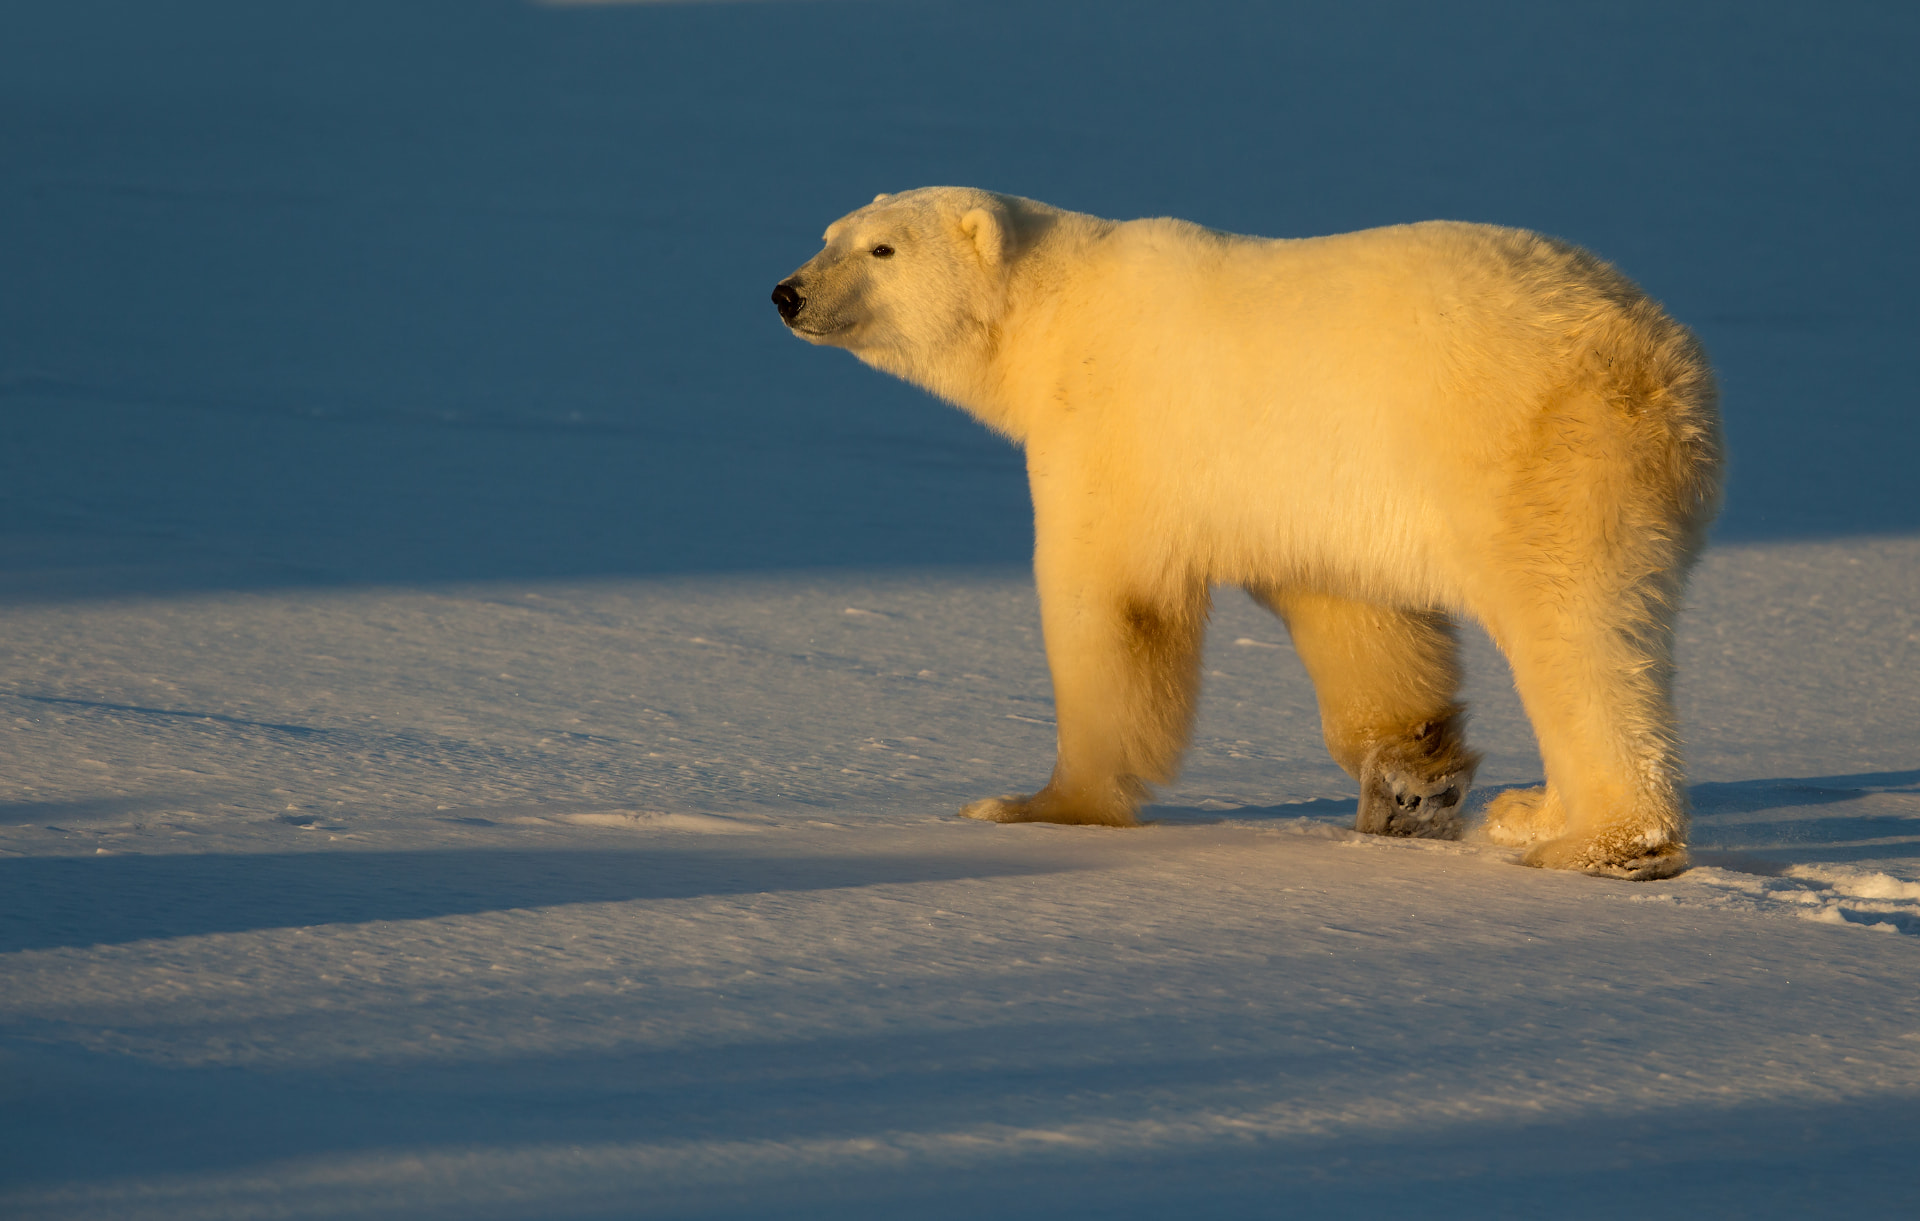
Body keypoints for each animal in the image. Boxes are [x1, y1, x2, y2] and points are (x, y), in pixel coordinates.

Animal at [773, 187, 1722, 880]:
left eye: (882, 249)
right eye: (829, 233)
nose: (787, 292)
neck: (1051, 313)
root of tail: (1662, 359)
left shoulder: (1117, 431)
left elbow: (1110, 608)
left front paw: (1038, 805)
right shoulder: (1300, 494)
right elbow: (1354, 614)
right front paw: (1411, 778)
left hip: (1539, 450)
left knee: (1572, 628)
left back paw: (1598, 838)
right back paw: (1533, 808)